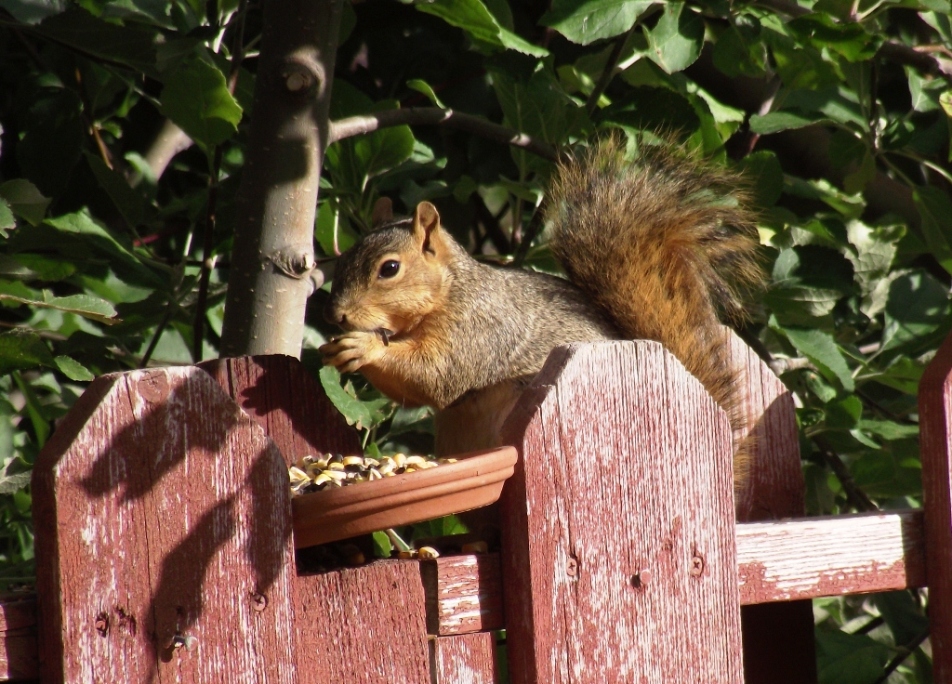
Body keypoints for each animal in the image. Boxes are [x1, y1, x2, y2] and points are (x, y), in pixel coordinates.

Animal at [320, 136, 764, 471]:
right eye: (342, 261)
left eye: (390, 268)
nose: (337, 316)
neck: (450, 291)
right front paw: (335, 349)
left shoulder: (481, 327)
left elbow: (437, 373)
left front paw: (364, 346)